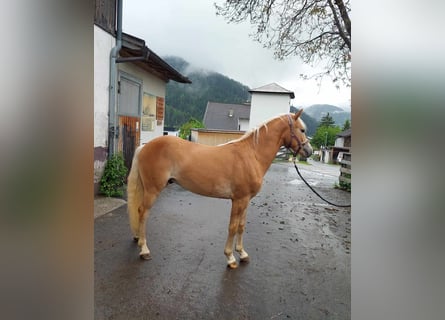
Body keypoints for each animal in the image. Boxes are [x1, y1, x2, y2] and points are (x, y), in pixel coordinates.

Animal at [125, 109, 312, 268]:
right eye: (302, 130)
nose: (309, 151)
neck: (251, 155)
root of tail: (145, 146)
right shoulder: (238, 200)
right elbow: (232, 227)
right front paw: (230, 258)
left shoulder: (246, 200)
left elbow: (241, 226)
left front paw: (242, 253)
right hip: (152, 190)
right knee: (143, 212)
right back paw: (144, 250)